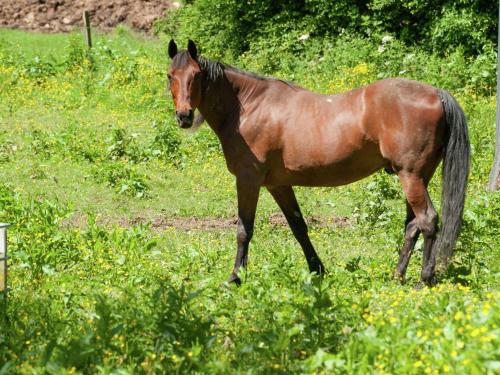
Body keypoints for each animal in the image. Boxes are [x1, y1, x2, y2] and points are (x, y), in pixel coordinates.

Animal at [167, 39, 468, 286]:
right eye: (170, 75)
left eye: (196, 75)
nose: (184, 116)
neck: (248, 107)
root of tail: (436, 93)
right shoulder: (278, 185)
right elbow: (299, 227)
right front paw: (318, 270)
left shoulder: (248, 179)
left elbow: (244, 229)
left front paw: (234, 278)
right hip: (418, 177)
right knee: (412, 225)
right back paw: (398, 276)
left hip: (411, 176)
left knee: (427, 221)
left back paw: (423, 280)